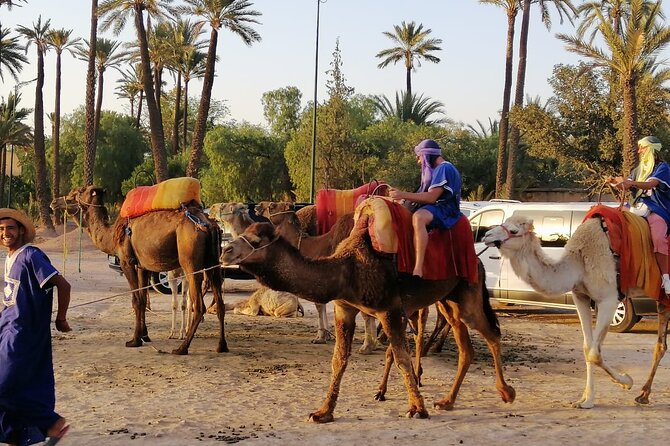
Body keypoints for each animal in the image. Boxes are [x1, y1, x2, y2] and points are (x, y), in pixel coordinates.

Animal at [54, 186, 227, 355]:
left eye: (76, 193)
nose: (54, 202)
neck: (112, 234)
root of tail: (208, 225)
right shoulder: (143, 266)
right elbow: (143, 299)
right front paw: (145, 336)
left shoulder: (127, 262)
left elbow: (136, 300)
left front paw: (135, 340)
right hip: (213, 263)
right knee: (220, 302)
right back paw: (221, 346)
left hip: (190, 261)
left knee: (199, 306)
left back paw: (181, 348)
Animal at [221, 222, 515, 422]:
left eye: (256, 239)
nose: (225, 251)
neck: (346, 272)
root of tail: (478, 260)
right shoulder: (344, 308)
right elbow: (339, 360)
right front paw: (323, 412)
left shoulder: (390, 310)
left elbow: (401, 358)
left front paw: (416, 408)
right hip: (448, 300)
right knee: (466, 348)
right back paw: (448, 401)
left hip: (468, 294)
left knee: (491, 333)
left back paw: (506, 392)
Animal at [481, 214, 637, 408]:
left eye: (513, 230)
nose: (486, 235)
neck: (579, 261)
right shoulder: (581, 296)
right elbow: (588, 348)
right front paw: (586, 400)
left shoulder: (609, 299)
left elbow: (594, 353)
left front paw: (627, 381)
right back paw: (644, 395)